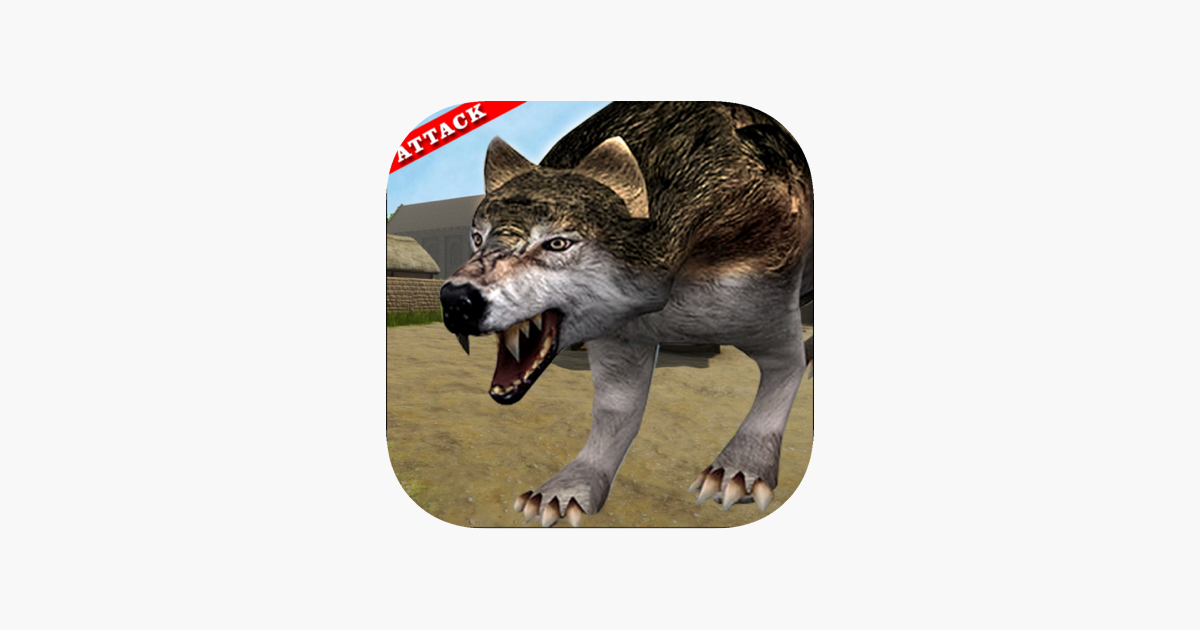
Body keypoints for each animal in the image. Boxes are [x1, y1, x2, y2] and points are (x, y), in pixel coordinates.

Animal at [439, 102, 813, 527]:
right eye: (477, 237)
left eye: (558, 243)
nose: (455, 299)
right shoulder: (618, 331)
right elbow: (617, 407)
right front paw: (567, 490)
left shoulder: (758, 288)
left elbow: (784, 367)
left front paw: (737, 472)